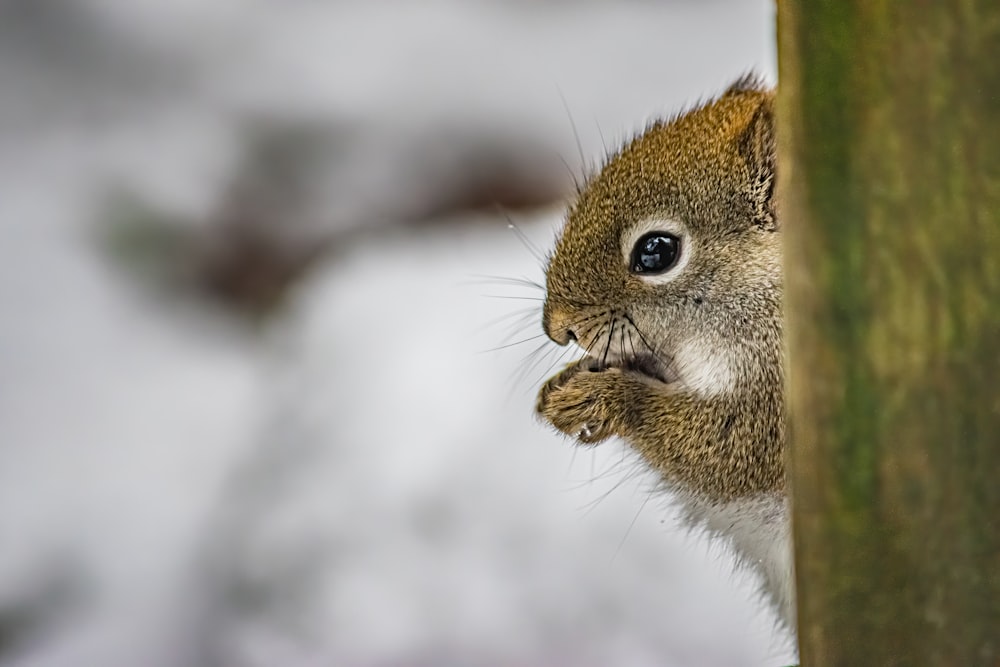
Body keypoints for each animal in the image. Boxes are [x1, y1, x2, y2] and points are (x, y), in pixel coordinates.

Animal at [536, 75, 792, 636]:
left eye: (655, 252)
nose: (558, 328)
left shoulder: (782, 408)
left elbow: (721, 452)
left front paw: (605, 398)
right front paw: (565, 385)